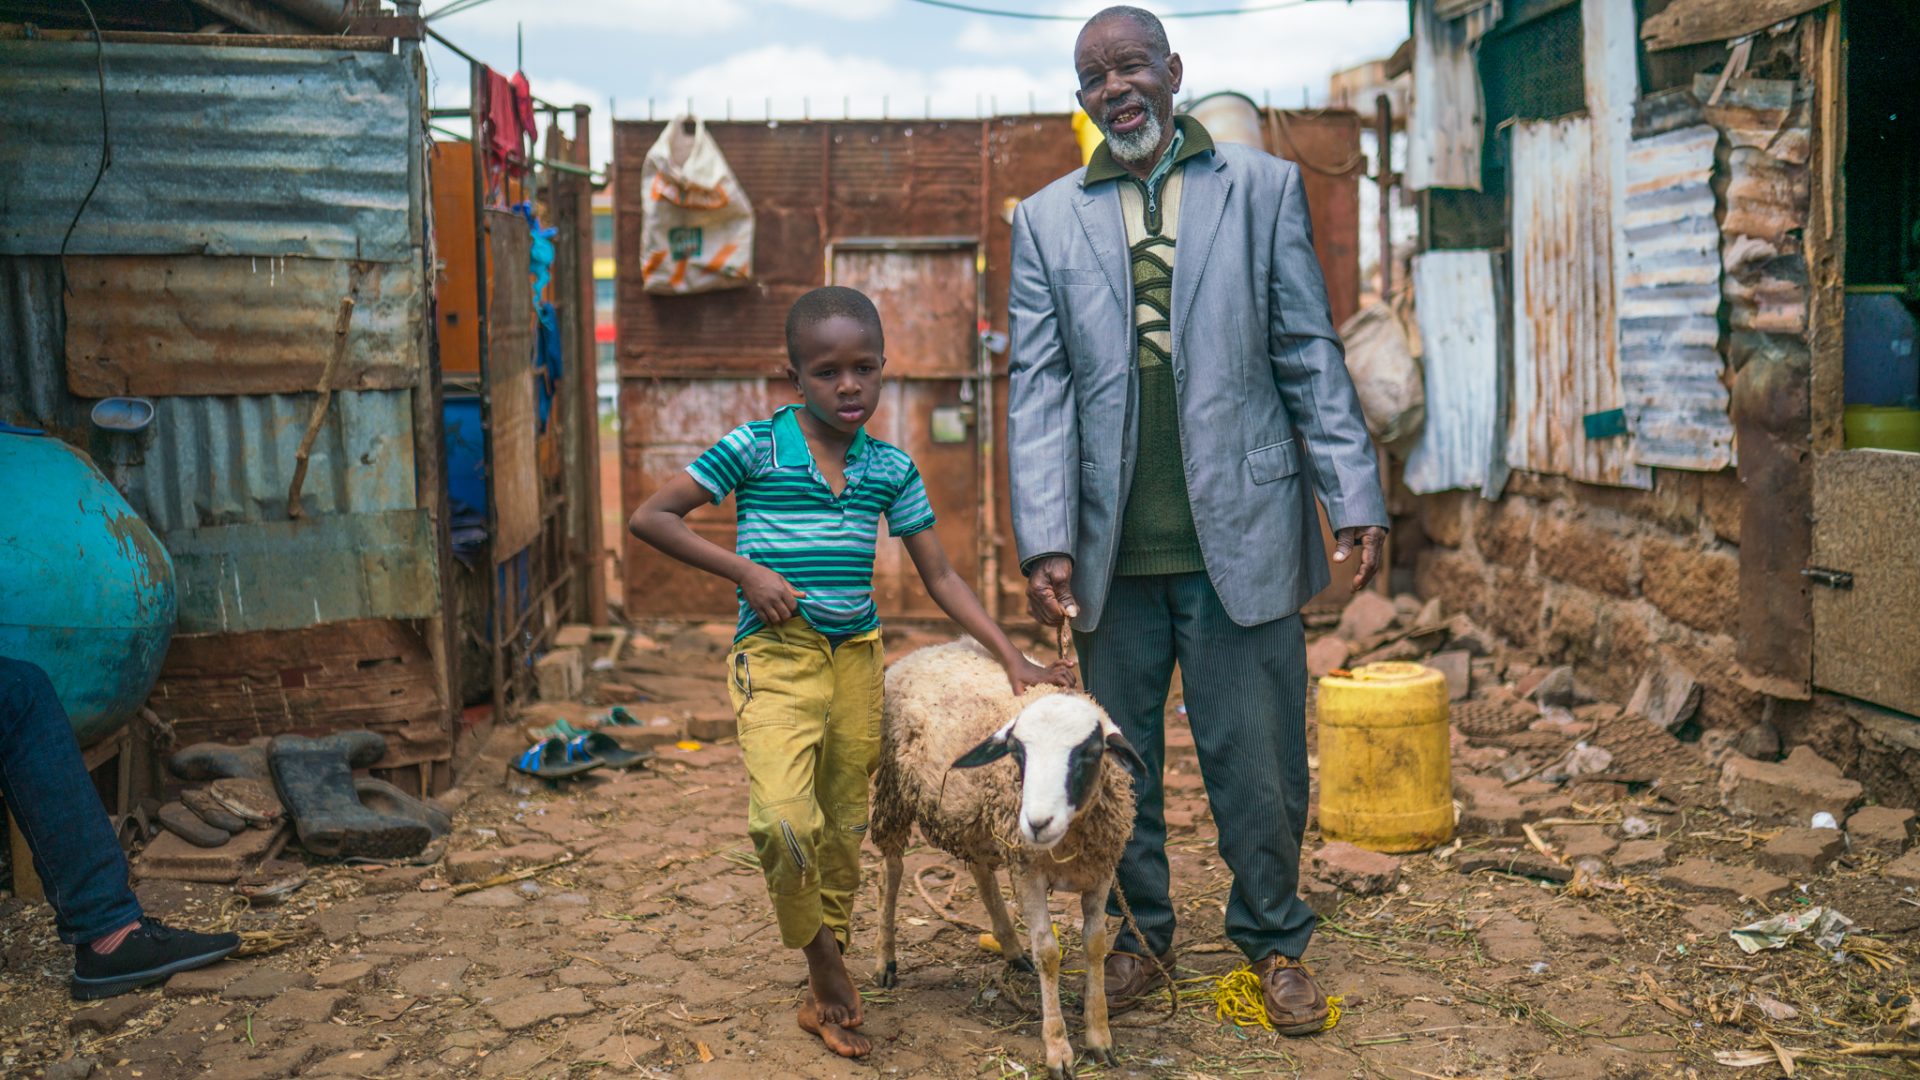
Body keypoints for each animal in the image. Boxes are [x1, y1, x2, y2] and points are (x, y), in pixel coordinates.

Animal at [875, 638, 1136, 1076]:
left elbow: (1095, 944)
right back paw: (885, 961)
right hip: (894, 787)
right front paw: (1058, 1049)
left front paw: (1099, 1037)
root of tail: (925, 649)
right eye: (1018, 753)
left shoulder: (1100, 870)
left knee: (980, 870)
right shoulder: (1028, 869)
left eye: (1090, 752)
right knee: (890, 871)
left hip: (980, 817)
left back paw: (1011, 948)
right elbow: (1049, 953)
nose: (1037, 822)